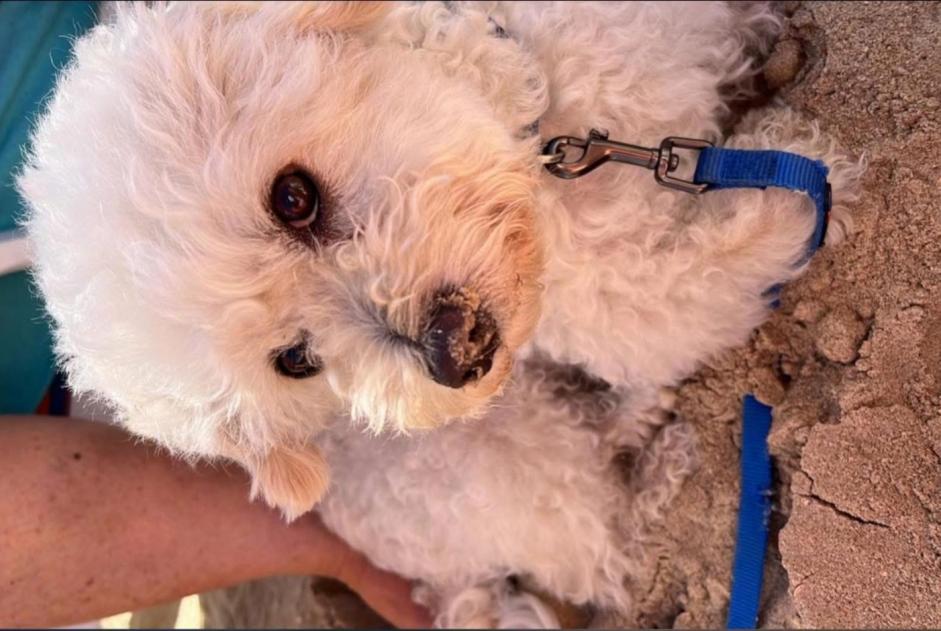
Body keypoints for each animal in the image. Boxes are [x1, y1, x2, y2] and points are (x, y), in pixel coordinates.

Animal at [20, 2, 860, 628]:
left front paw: (770, 45)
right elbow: (703, 279)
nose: (454, 353)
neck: (546, 132)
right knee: (609, 551)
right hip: (523, 475)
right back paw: (665, 463)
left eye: (292, 196)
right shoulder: (625, 301)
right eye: (297, 360)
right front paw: (798, 180)